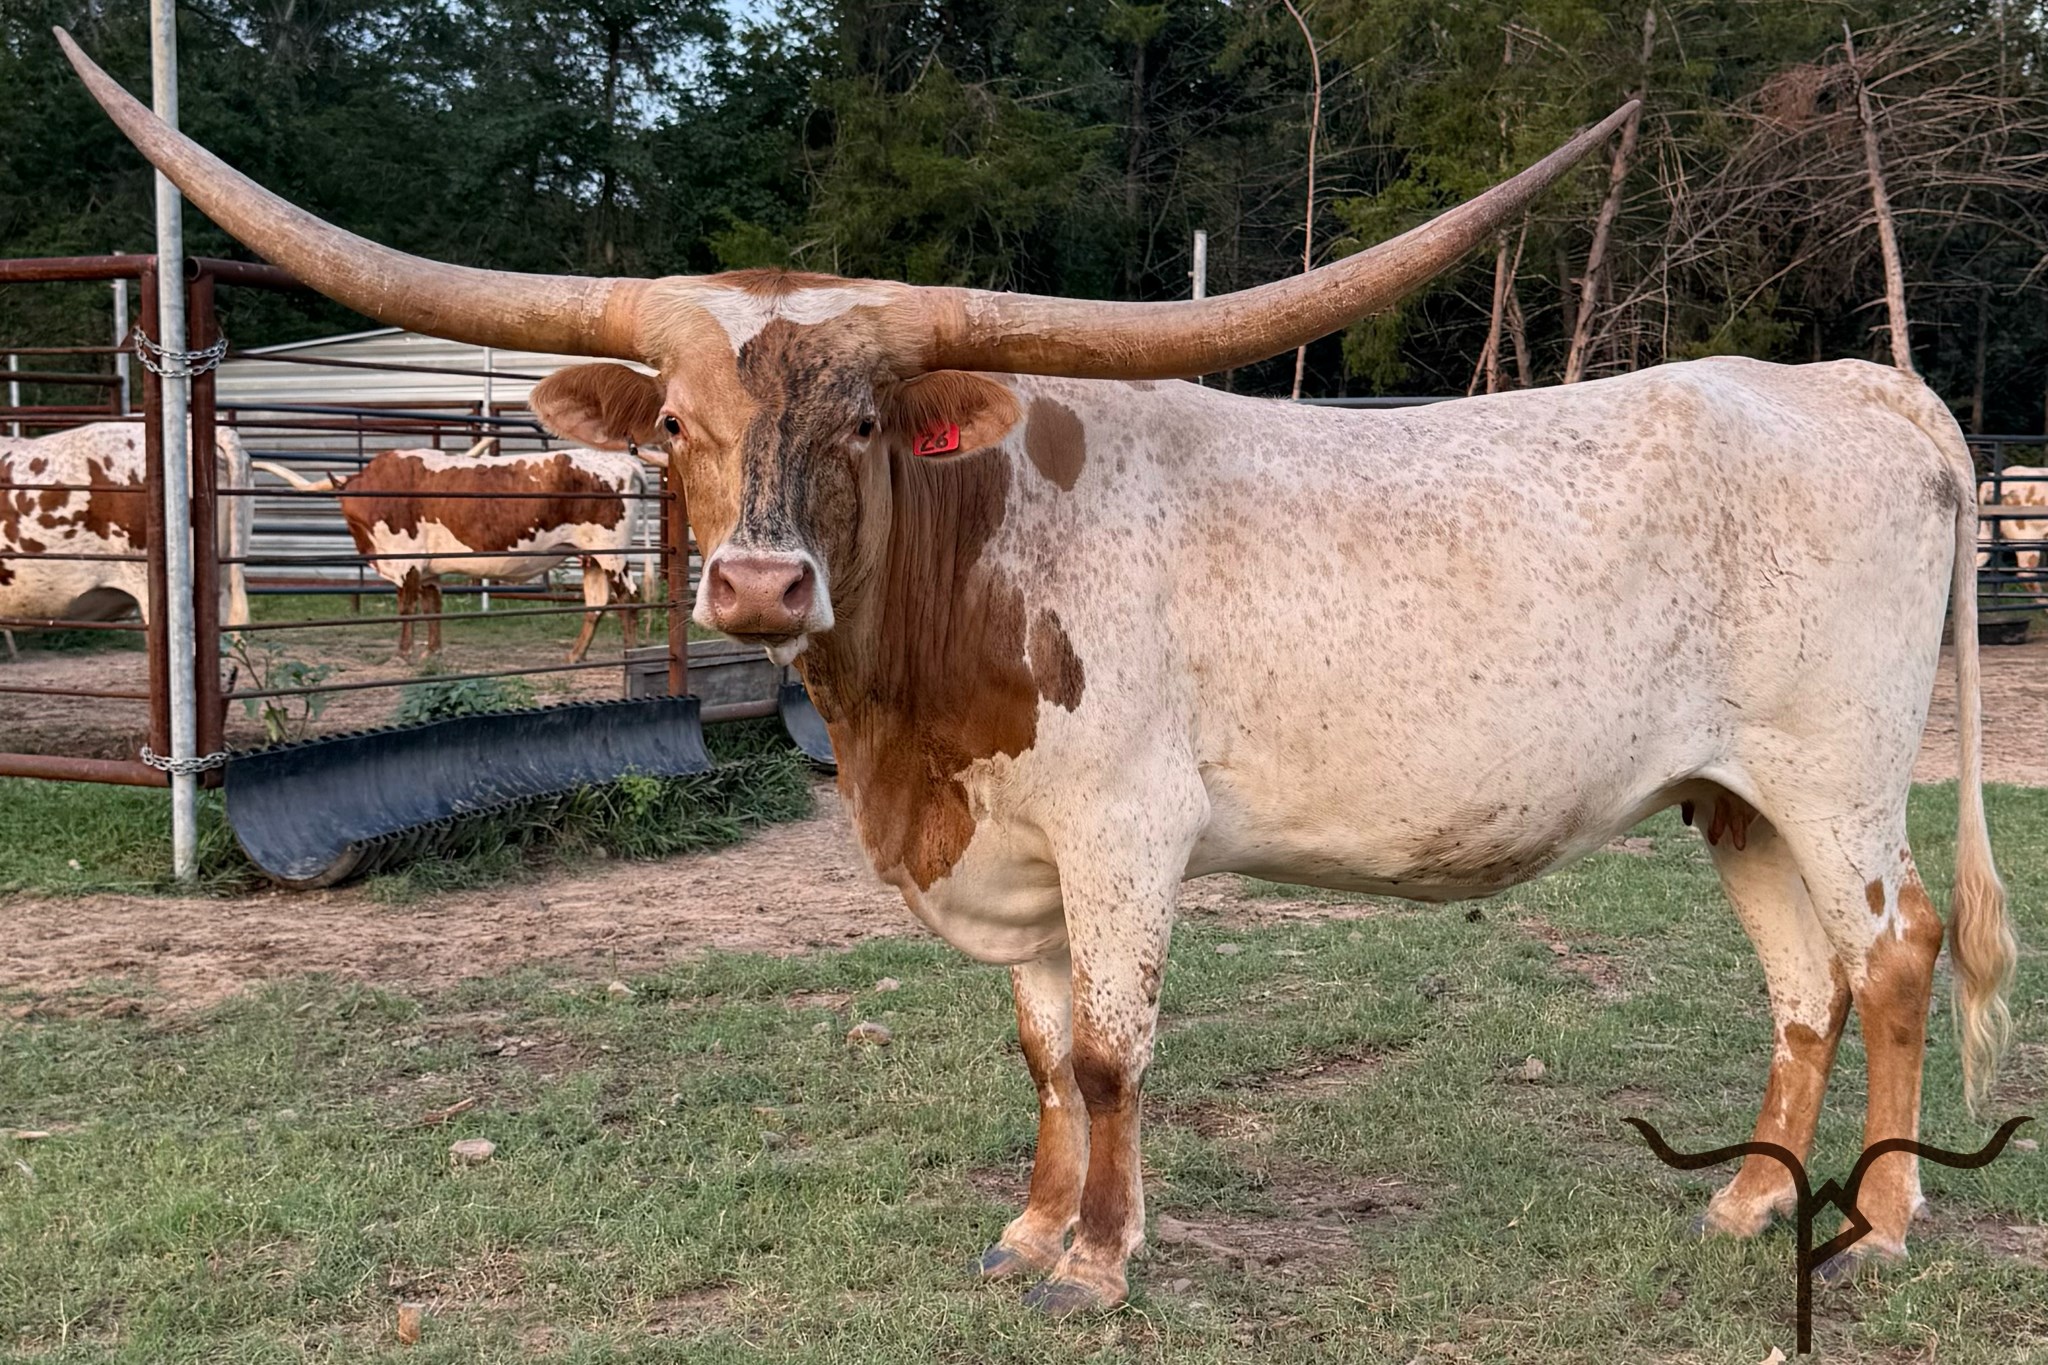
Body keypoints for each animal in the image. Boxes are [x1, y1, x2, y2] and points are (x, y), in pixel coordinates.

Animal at [252, 443, 650, 662]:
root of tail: (623, 463)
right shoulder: (428, 569)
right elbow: (433, 607)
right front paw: (432, 653)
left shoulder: (407, 563)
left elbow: (407, 608)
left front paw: (402, 655)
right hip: (591, 556)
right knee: (596, 603)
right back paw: (575, 655)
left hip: (612, 553)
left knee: (628, 598)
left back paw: (629, 655)